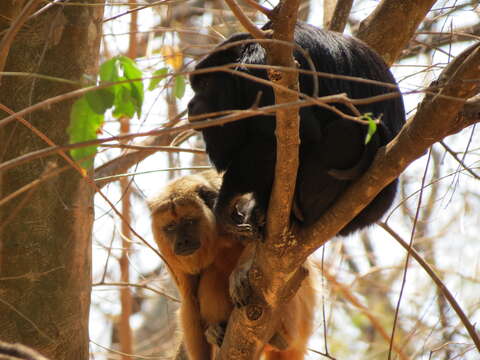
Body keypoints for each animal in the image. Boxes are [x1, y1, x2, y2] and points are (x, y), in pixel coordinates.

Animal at [149, 172, 316, 360]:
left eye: (189, 221)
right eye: (170, 227)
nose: (182, 241)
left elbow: (268, 244)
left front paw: (239, 274)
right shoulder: (170, 257)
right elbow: (189, 299)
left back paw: (281, 338)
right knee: (210, 276)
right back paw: (215, 332)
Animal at [188, 21, 404, 236]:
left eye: (205, 84)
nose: (190, 105)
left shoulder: (261, 69)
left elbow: (301, 133)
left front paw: (226, 199)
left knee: (347, 131)